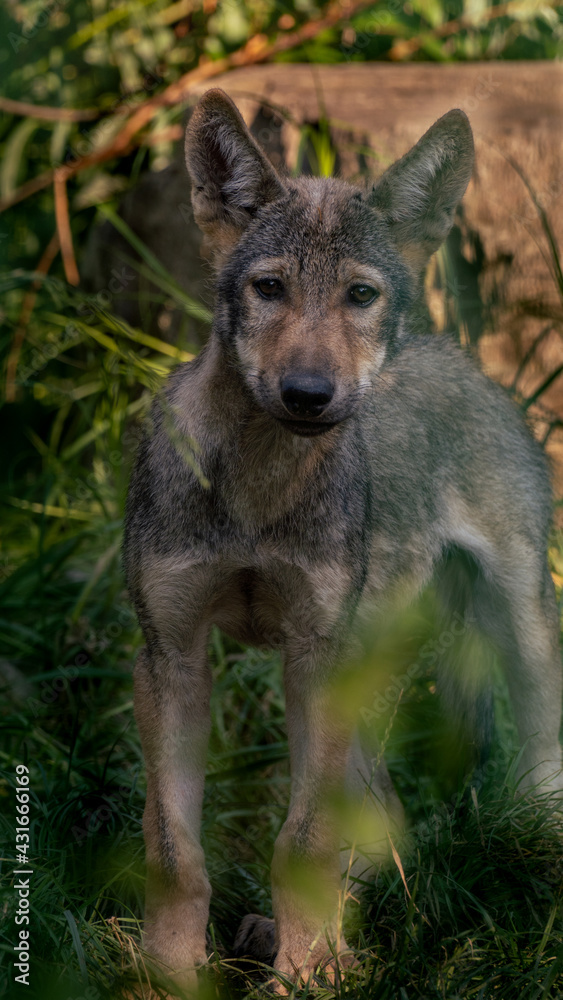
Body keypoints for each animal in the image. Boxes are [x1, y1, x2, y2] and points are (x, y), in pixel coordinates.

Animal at [124, 92, 563, 992]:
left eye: (359, 295)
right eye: (269, 289)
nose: (308, 393)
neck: (259, 495)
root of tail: (448, 349)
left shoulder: (312, 654)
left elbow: (303, 838)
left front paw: (310, 973)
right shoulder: (171, 657)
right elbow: (173, 847)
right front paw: (172, 974)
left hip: (515, 622)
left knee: (534, 759)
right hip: (367, 666)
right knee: (391, 818)